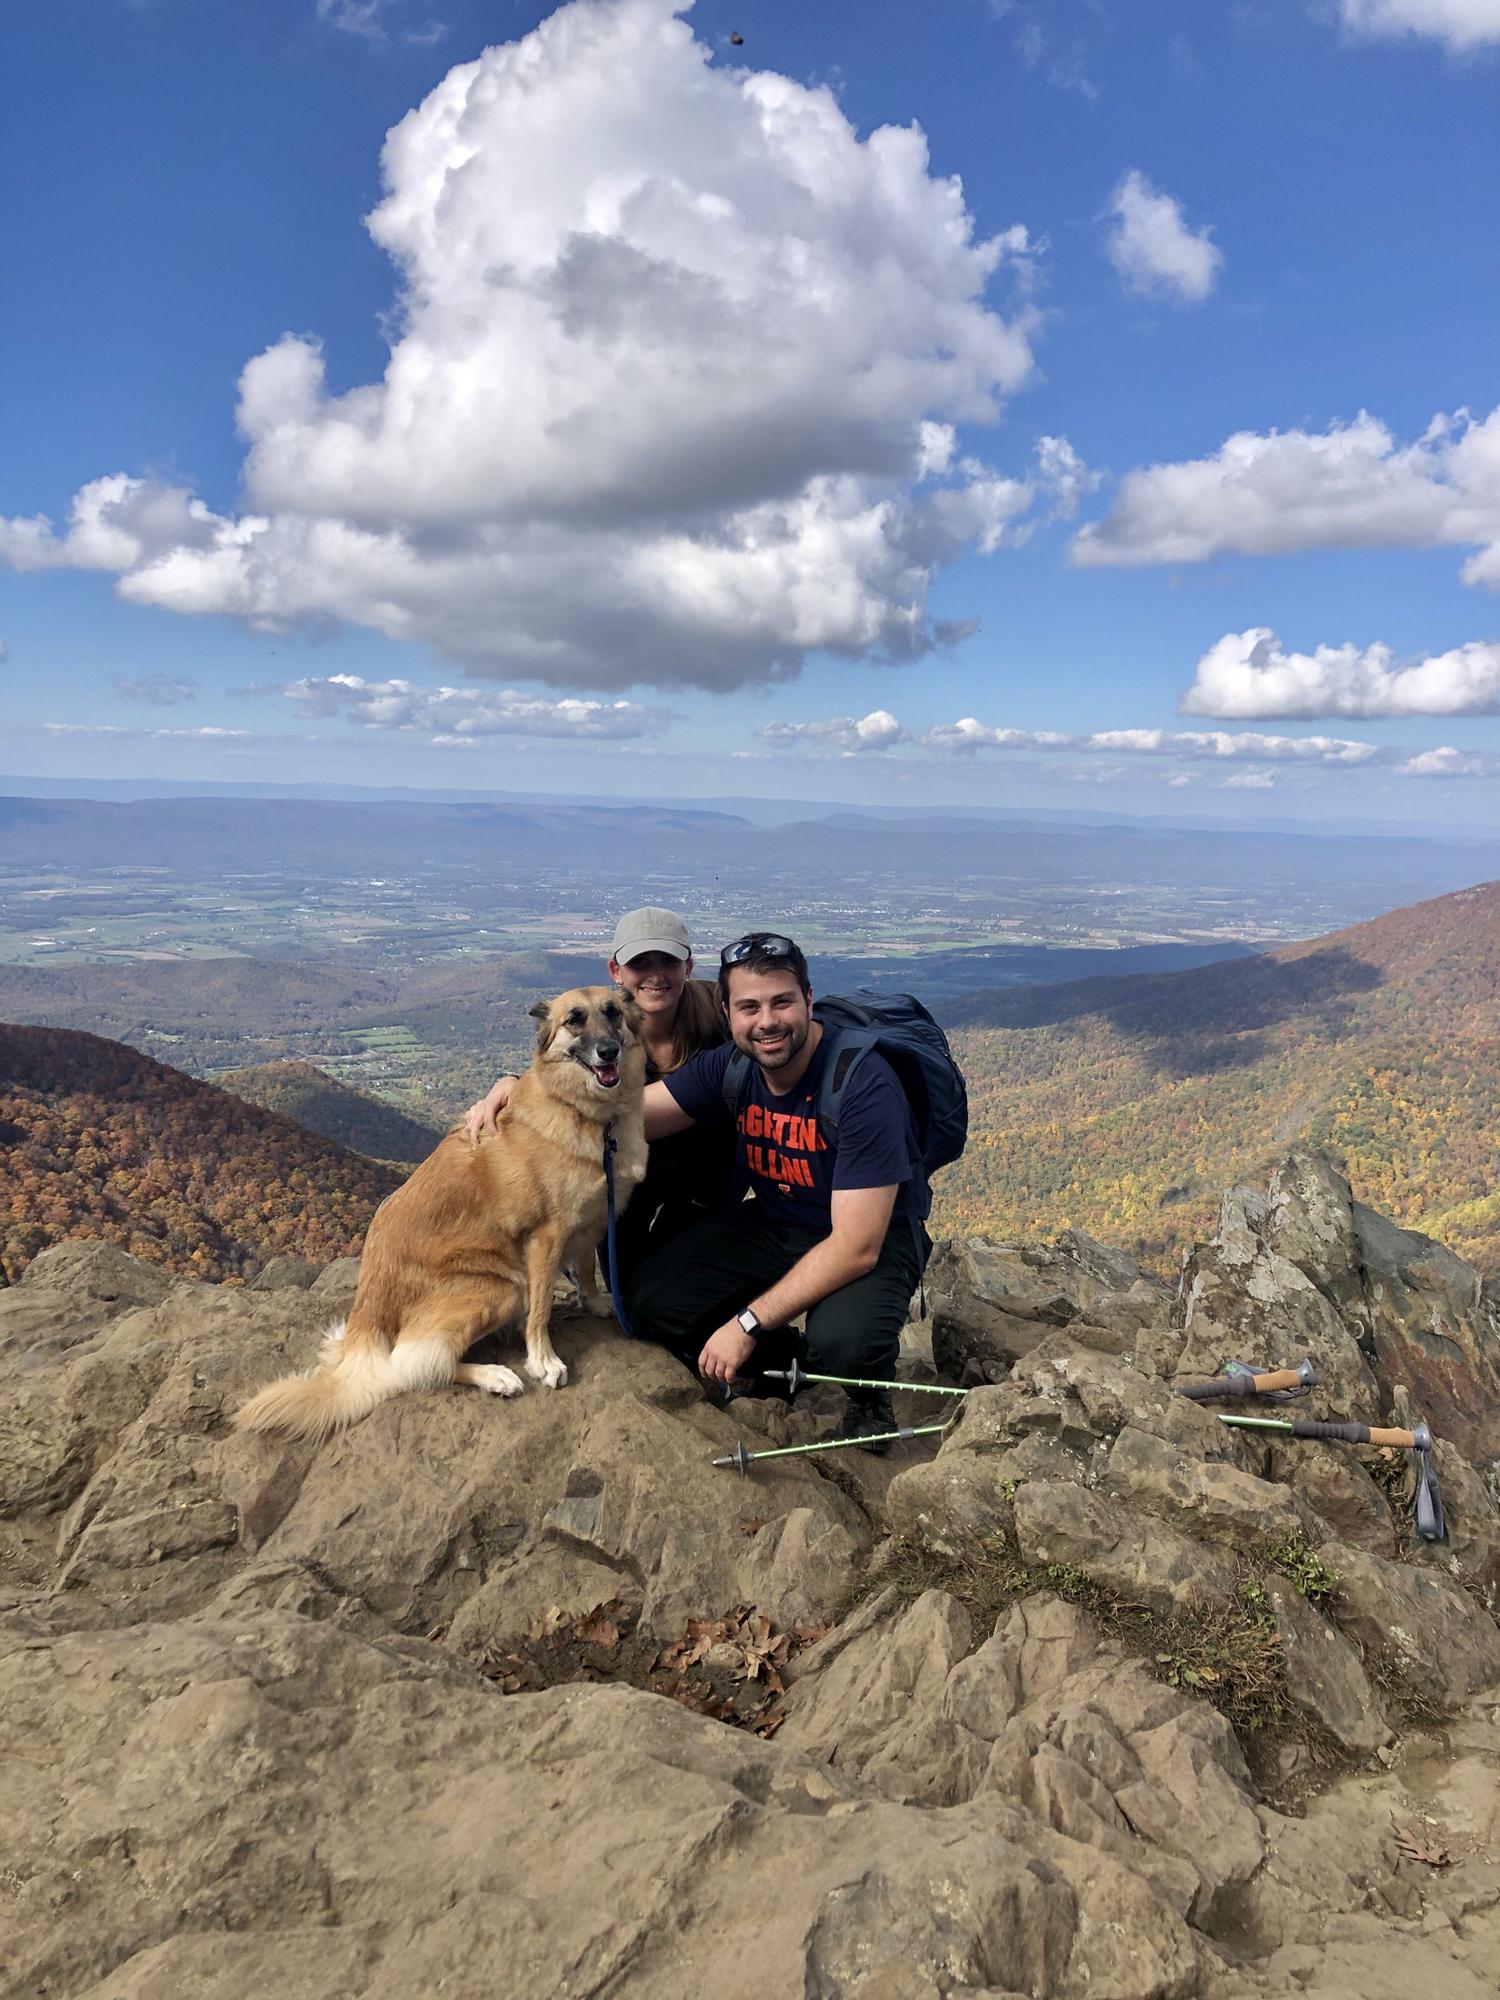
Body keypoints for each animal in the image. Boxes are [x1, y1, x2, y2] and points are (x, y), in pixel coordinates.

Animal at [238, 992, 648, 1448]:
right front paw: (544, 1362)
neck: (584, 1112)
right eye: (574, 1020)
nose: (608, 1052)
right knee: (412, 1365)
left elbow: (589, 1266)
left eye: (613, 1012)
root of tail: (367, 1310)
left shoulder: (591, 1218)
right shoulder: (547, 1238)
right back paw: (496, 1376)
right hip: (503, 1286)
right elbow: (541, 1309)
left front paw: (593, 1301)